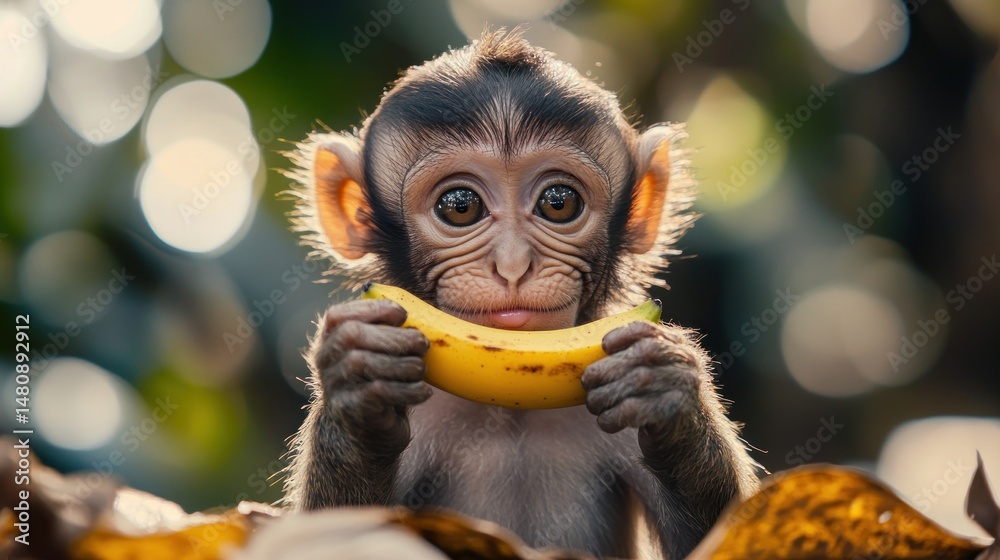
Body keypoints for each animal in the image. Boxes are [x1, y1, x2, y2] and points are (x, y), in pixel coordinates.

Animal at [281, 29, 760, 559]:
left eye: (559, 202)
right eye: (460, 206)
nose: (513, 266)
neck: (511, 408)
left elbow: (724, 539)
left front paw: (667, 387)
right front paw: (356, 389)